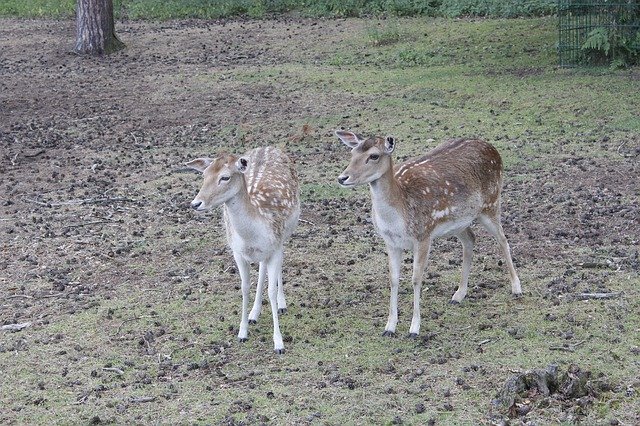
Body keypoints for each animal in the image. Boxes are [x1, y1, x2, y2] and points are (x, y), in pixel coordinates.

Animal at [186, 146, 302, 352]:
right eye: (204, 175)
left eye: (225, 177)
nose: (196, 203)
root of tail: (269, 147)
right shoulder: (237, 253)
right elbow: (244, 287)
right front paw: (242, 332)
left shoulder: (275, 246)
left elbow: (271, 291)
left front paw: (278, 343)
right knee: (262, 267)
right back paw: (254, 314)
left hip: (287, 231)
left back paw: (282, 304)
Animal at [336, 131, 520, 338]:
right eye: (352, 153)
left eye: (374, 156)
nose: (343, 177)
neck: (399, 214)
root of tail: (492, 148)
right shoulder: (391, 242)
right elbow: (393, 279)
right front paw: (389, 327)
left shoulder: (423, 235)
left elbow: (416, 279)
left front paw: (414, 329)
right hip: (460, 221)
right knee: (470, 239)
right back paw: (458, 294)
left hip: (491, 203)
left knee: (503, 239)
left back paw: (516, 288)